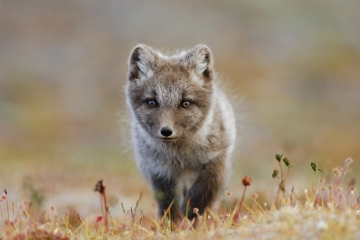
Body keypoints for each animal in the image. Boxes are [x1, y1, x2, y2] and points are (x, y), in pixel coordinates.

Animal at [125, 43, 238, 221]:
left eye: (185, 103)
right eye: (152, 102)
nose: (166, 131)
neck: (181, 157)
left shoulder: (217, 158)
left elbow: (203, 190)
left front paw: (192, 211)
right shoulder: (159, 171)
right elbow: (168, 203)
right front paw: (172, 224)